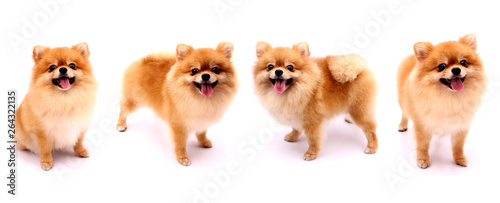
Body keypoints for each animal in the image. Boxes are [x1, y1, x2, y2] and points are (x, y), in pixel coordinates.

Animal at [398, 34, 488, 169]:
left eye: (463, 62)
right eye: (442, 66)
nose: (456, 69)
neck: (449, 97)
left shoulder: (461, 125)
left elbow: (458, 146)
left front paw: (460, 159)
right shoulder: (422, 124)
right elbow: (422, 145)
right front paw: (423, 159)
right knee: (404, 113)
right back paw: (402, 125)